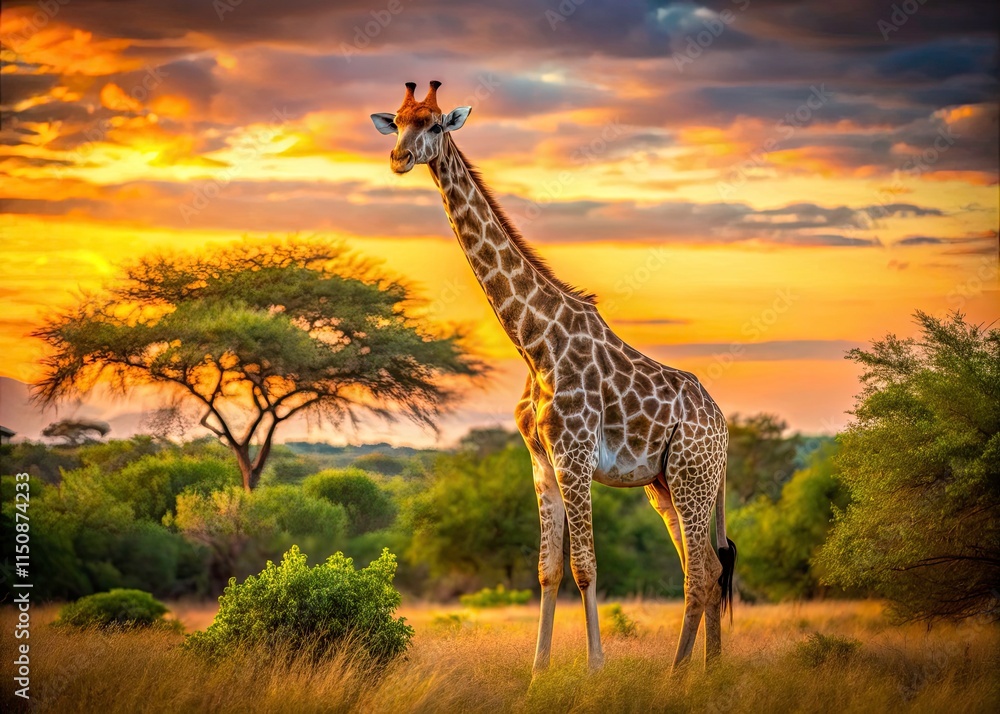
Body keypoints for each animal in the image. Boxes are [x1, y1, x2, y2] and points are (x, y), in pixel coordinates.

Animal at [371, 81, 737, 673]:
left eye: (435, 125)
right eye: (399, 121)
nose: (399, 157)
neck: (534, 343)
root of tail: (723, 425)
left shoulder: (575, 456)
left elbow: (585, 566)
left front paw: (595, 669)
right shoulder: (541, 460)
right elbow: (547, 569)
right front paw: (538, 673)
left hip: (691, 476)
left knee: (702, 572)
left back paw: (677, 676)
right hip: (665, 483)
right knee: (706, 568)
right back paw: (704, 673)